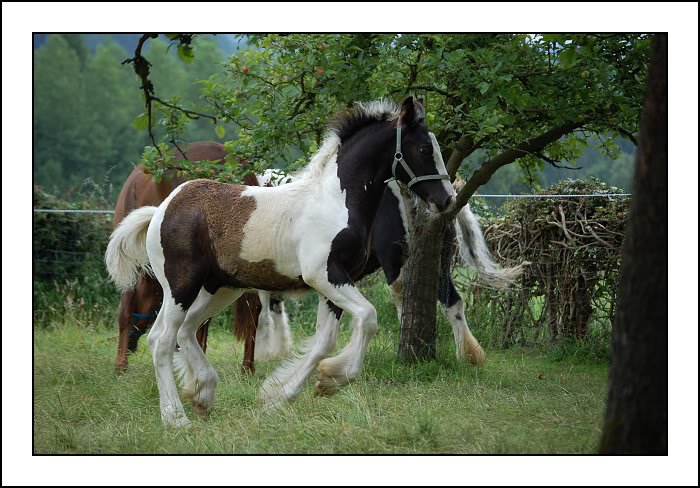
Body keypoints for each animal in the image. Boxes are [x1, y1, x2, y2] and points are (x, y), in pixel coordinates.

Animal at [104, 97, 454, 426]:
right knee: (162, 340)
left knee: (185, 330)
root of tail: (160, 210)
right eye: (424, 148)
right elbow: (367, 317)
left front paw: (279, 396)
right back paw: (176, 418)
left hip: (219, 289)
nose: (446, 199)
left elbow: (324, 342)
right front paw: (332, 379)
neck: (335, 200)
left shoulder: (335, 283)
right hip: (181, 286)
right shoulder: (325, 275)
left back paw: (203, 394)